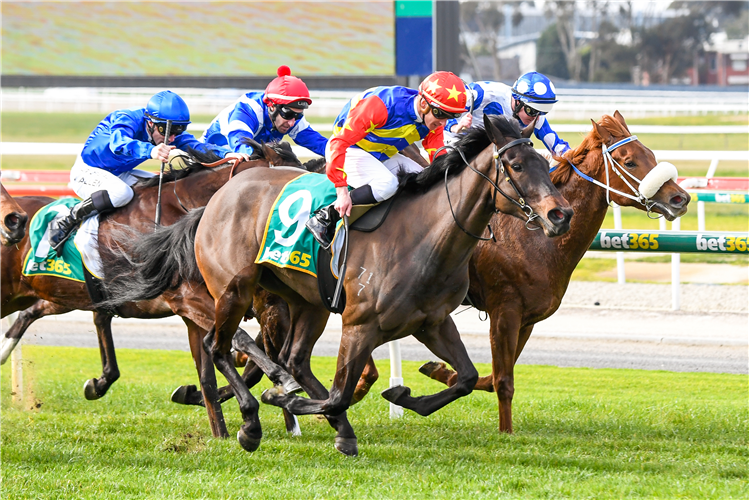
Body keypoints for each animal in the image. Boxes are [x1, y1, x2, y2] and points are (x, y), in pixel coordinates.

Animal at [0, 142, 308, 438]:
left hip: (55, 296)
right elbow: (239, 340)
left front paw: (221, 430)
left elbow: (209, 374)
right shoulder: (187, 299)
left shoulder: (198, 305)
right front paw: (281, 378)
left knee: (37, 313)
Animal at [109, 115, 572, 456]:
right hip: (234, 290)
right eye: (516, 166)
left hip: (306, 301)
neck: (425, 238)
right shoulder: (360, 323)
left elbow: (464, 377)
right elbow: (338, 393)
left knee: (293, 360)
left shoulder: (433, 322)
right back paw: (251, 423)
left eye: (545, 164)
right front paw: (295, 405)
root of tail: (213, 202)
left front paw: (403, 397)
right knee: (218, 347)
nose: (560, 215)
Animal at [414, 111, 688, 432]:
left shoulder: (528, 318)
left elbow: (493, 378)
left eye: (651, 154)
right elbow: (503, 381)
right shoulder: (504, 311)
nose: (680, 199)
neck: (533, 239)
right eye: (630, 161)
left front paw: (439, 371)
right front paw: (505, 433)